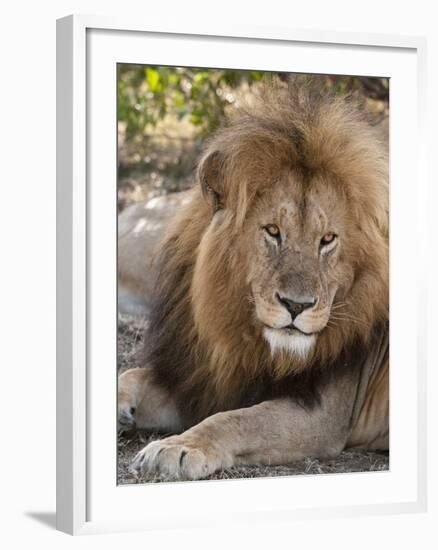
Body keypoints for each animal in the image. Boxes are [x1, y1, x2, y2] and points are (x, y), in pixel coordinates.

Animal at [118, 77, 388, 484]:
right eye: (273, 231)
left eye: (327, 239)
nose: (297, 305)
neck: (246, 339)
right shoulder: (205, 381)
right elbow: (131, 374)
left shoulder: (325, 415)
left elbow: (236, 421)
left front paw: (177, 448)